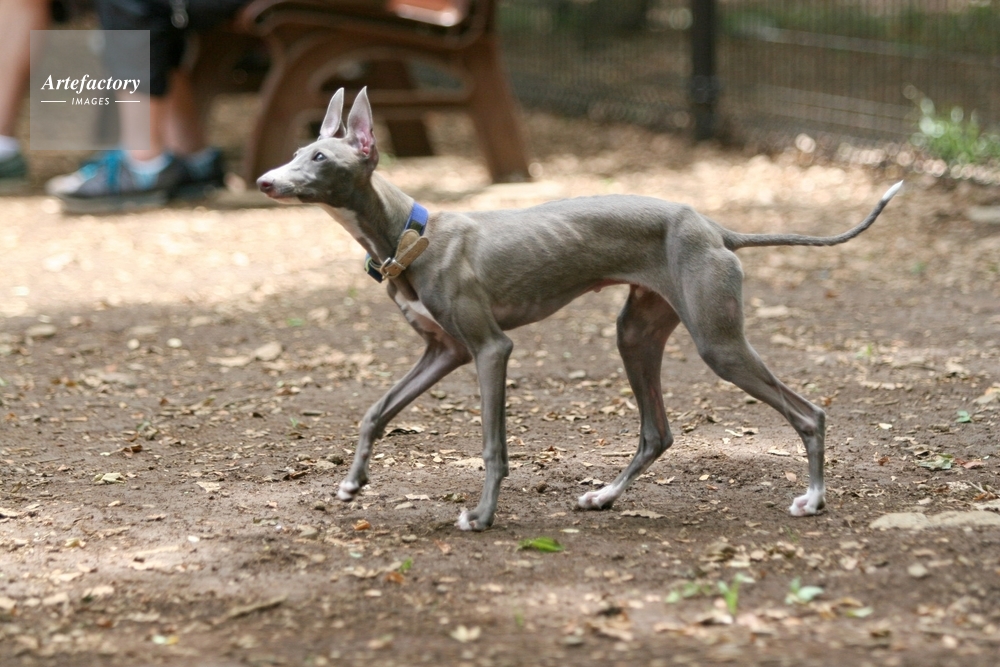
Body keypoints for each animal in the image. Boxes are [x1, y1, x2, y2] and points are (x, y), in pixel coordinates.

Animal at [257, 87, 902, 531]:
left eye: (319, 157)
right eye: (298, 151)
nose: (264, 181)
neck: (408, 233)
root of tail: (717, 228)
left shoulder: (490, 348)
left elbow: (492, 445)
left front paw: (481, 516)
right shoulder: (445, 352)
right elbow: (375, 411)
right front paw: (352, 483)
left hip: (719, 343)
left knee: (809, 414)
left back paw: (813, 499)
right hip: (636, 333)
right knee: (657, 432)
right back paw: (605, 495)